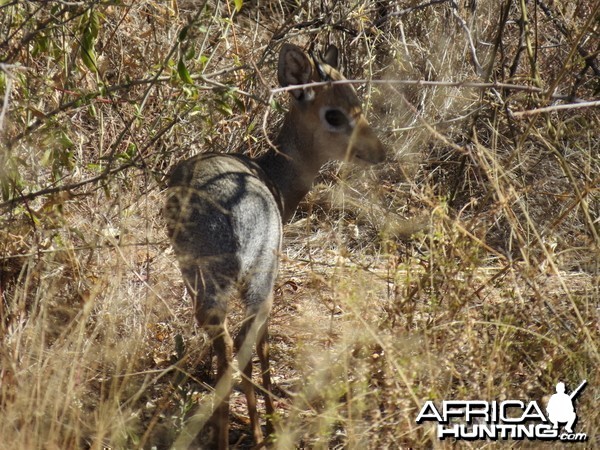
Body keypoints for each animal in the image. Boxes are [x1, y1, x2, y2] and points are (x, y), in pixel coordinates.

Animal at [165, 43, 384, 450]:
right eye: (334, 113)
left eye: (358, 101)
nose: (378, 152)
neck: (275, 176)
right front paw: (267, 422)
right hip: (258, 282)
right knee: (246, 338)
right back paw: (257, 429)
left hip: (205, 287)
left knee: (224, 342)